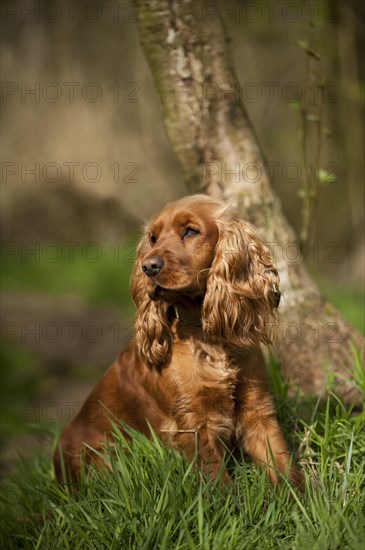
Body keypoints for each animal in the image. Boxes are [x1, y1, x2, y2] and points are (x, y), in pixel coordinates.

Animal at [54, 196, 302, 490]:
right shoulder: (193, 421)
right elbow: (218, 480)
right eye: (153, 238)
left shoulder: (257, 409)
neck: (204, 332)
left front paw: (299, 498)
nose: (148, 266)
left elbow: (282, 464)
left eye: (191, 231)